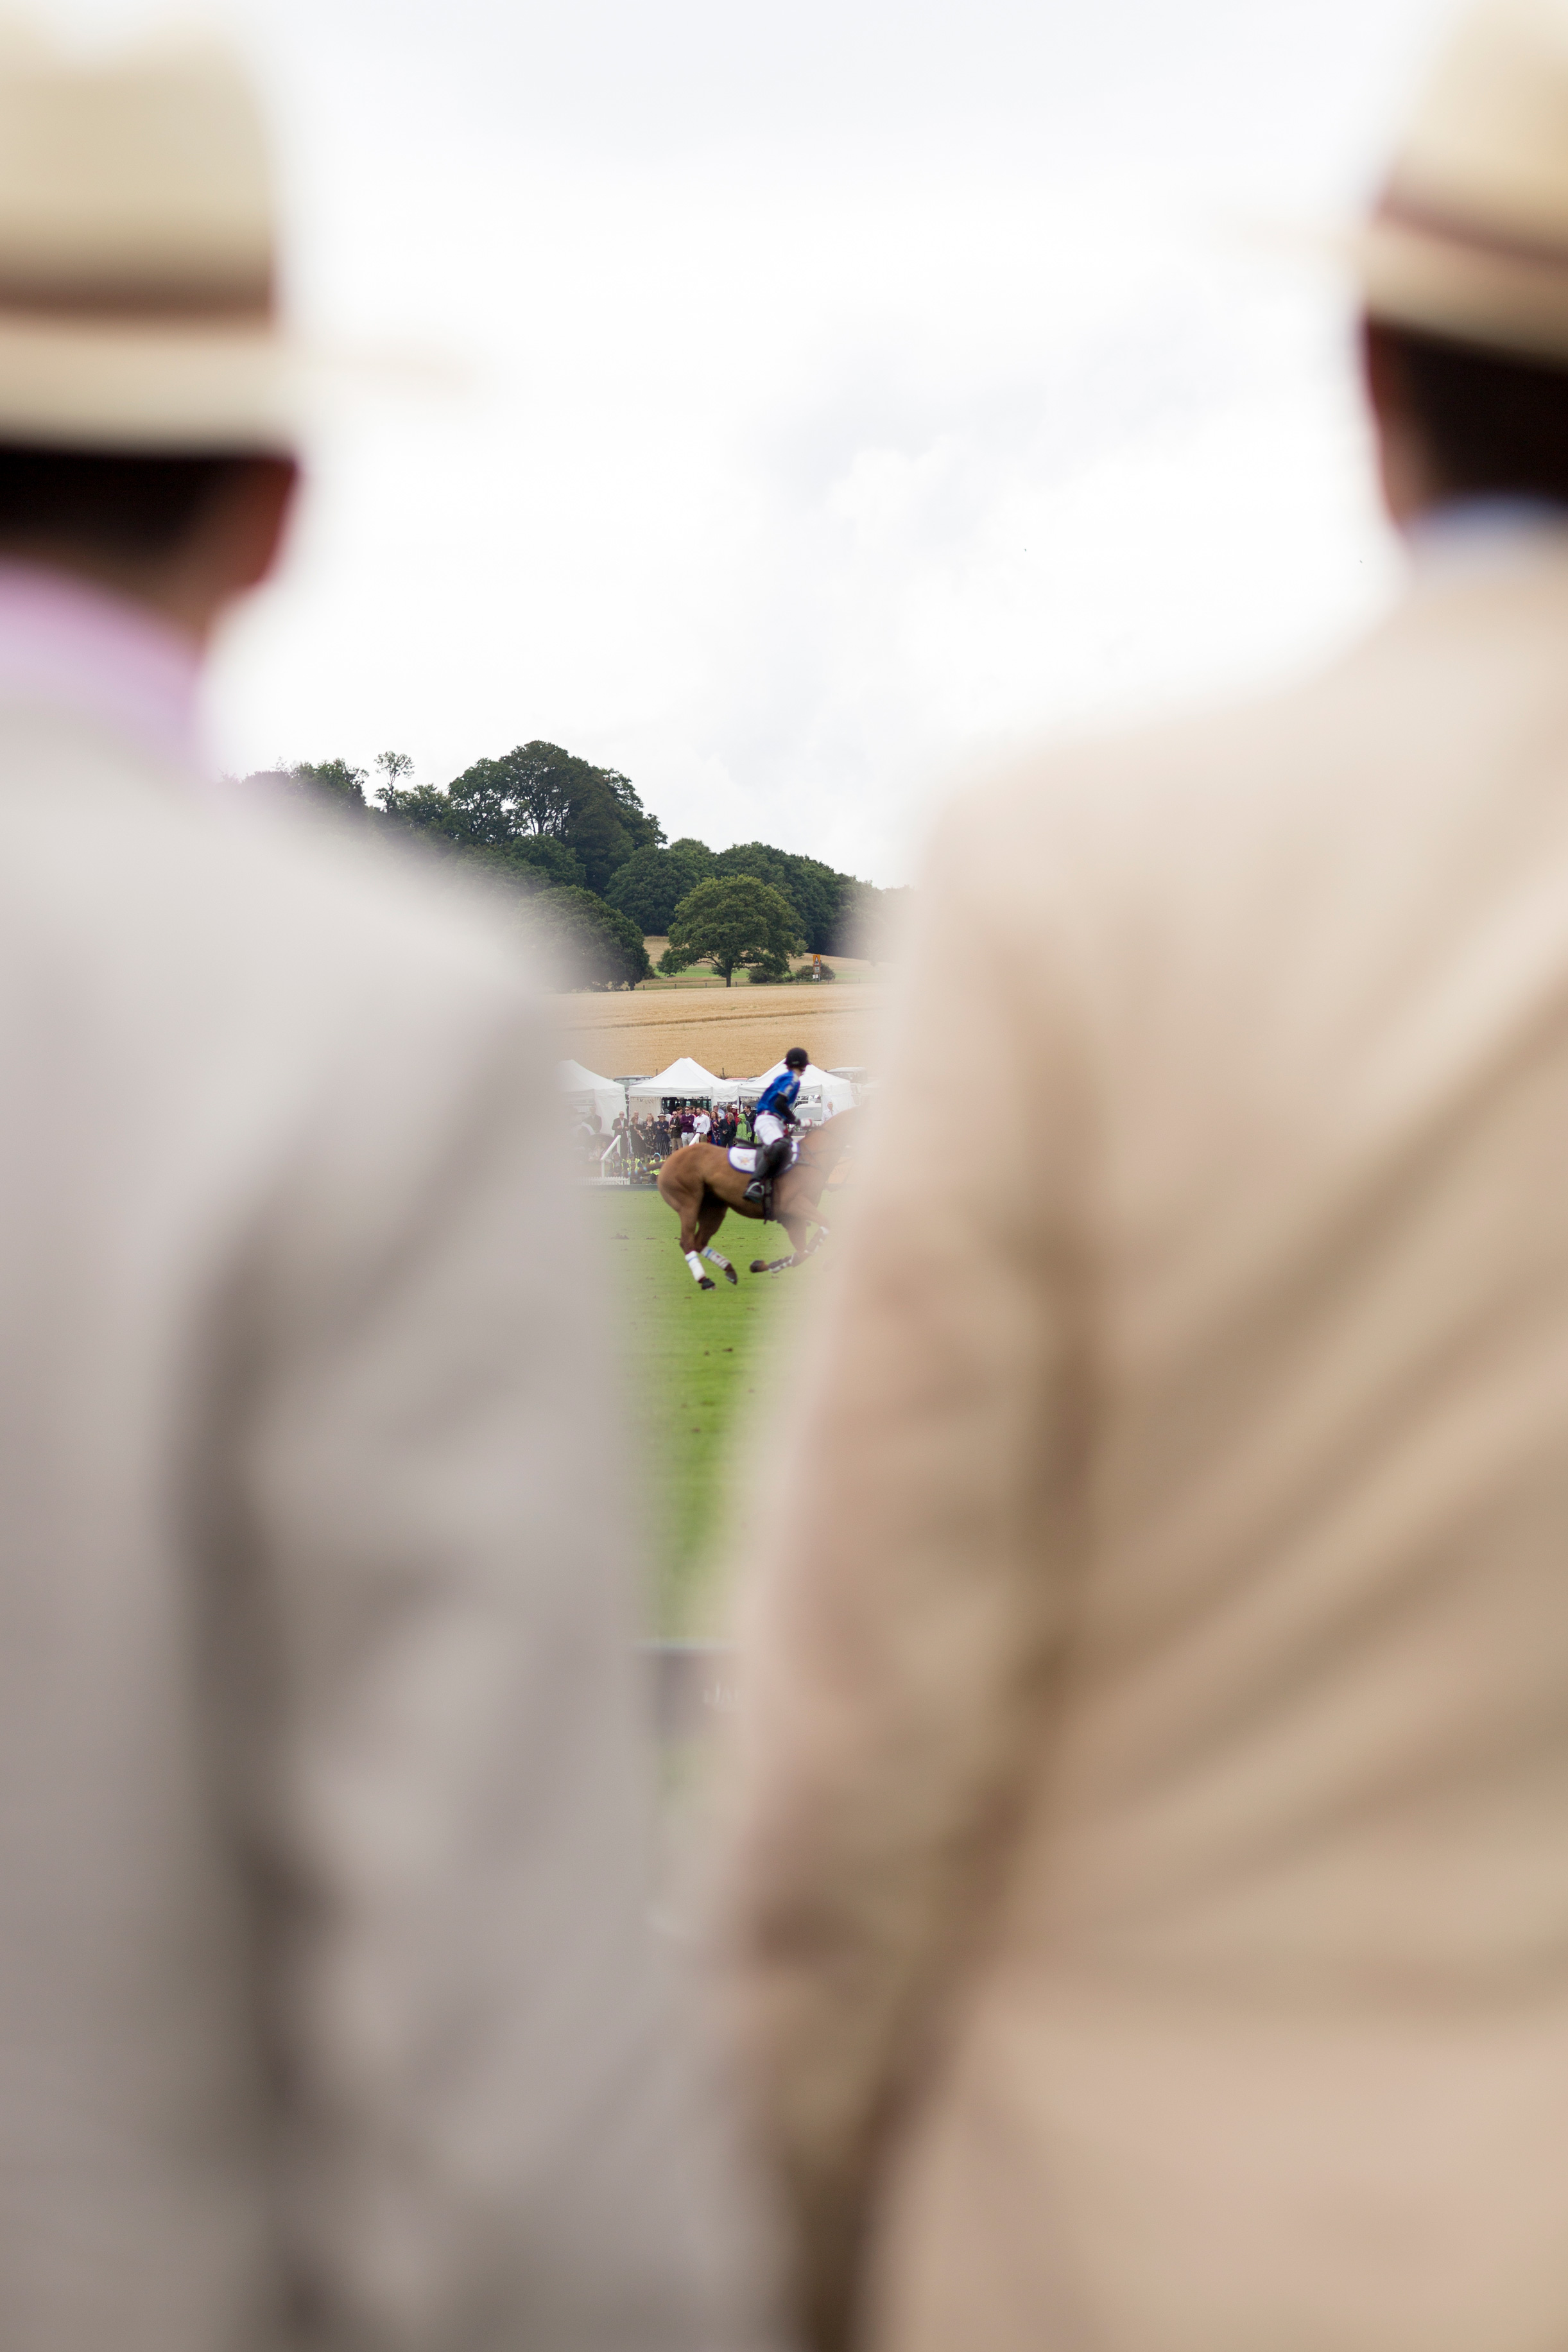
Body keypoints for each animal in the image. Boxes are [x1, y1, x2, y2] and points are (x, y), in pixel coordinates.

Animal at [658, 1114, 865, 1298]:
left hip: (714, 1209)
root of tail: (669, 1160)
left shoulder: (793, 1219)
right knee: (687, 1242)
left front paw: (763, 1265)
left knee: (699, 1242)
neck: (811, 1159)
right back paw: (705, 1280)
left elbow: (803, 1251)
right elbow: (819, 1235)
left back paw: (729, 1270)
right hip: (688, 1203)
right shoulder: (795, 1206)